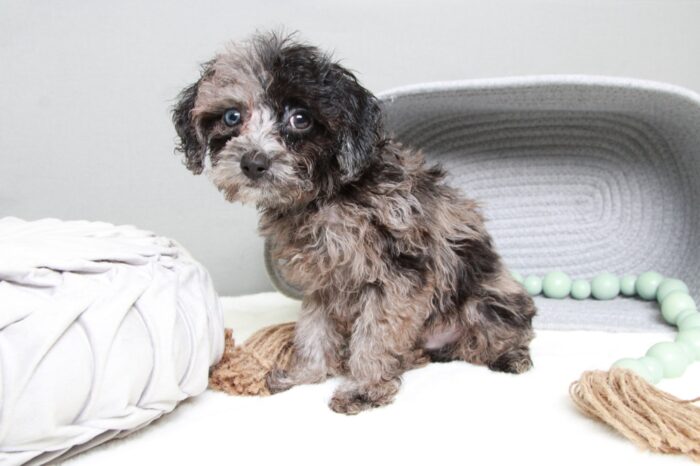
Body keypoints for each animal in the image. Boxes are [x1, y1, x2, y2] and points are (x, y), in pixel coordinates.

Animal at [175, 31, 536, 414]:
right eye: (232, 116)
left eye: (300, 118)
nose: (253, 163)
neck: (326, 195)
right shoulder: (321, 280)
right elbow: (313, 328)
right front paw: (306, 373)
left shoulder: (397, 276)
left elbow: (376, 335)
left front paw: (363, 387)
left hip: (487, 301)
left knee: (503, 333)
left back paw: (509, 355)